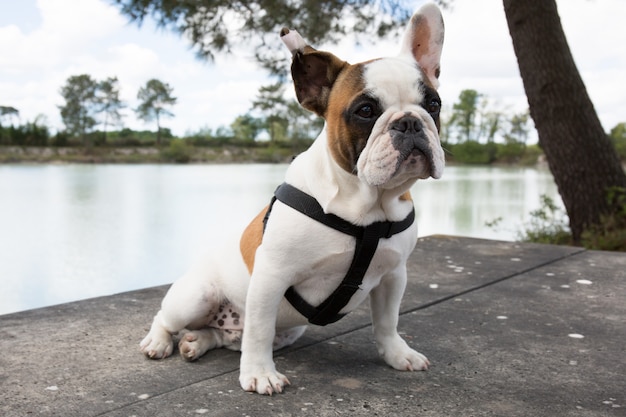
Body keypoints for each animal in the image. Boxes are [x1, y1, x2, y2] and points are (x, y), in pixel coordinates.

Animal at [141, 2, 444, 394]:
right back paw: (159, 341)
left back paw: (199, 342)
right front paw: (259, 373)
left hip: (288, 330)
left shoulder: (394, 275)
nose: (409, 122)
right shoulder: (271, 276)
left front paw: (397, 354)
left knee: (226, 337)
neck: (367, 206)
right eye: (365, 111)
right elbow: (258, 331)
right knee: (170, 318)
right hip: (196, 296)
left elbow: (388, 321)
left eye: (434, 104)